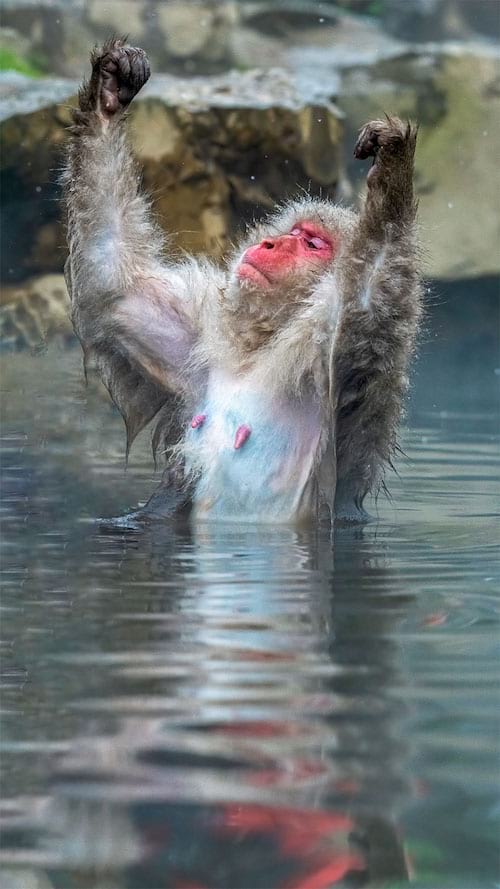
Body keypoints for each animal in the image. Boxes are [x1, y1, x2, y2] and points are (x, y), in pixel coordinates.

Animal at [61, 39, 422, 525]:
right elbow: (113, 281)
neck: (263, 347)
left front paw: (393, 169)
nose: (270, 243)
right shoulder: (195, 347)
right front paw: (111, 90)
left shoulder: (348, 352)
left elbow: (368, 296)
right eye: (293, 232)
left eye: (312, 243)